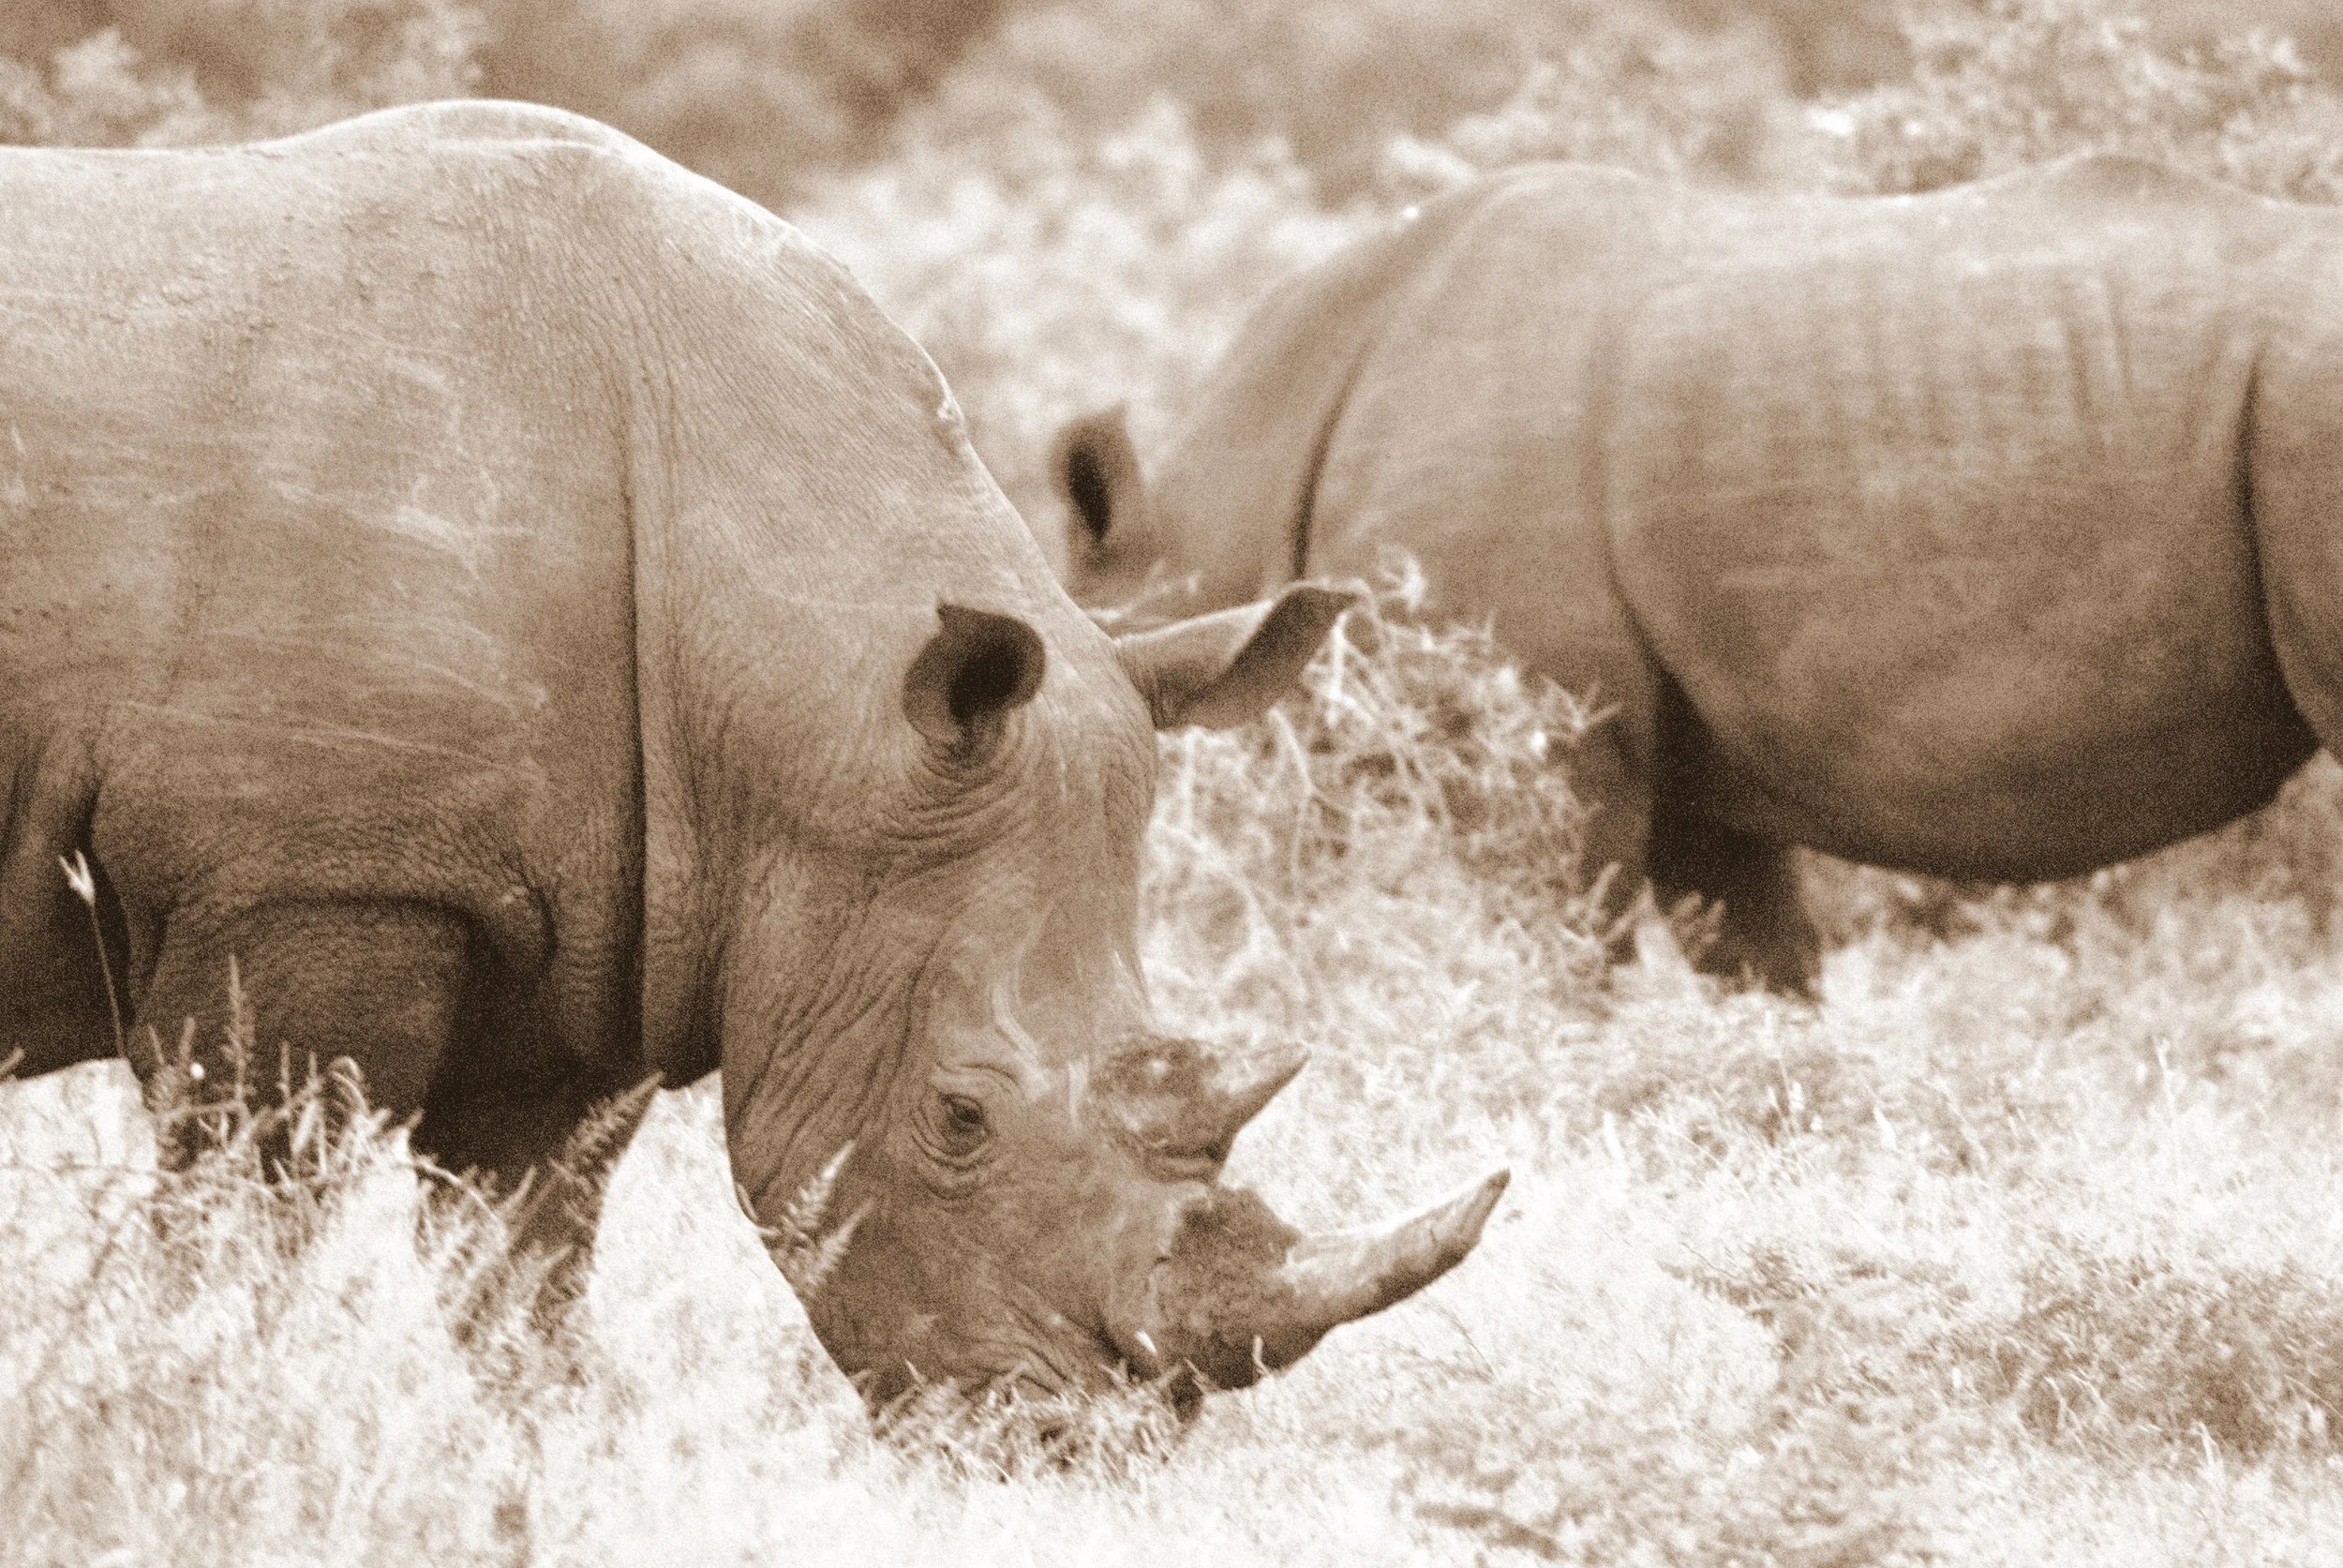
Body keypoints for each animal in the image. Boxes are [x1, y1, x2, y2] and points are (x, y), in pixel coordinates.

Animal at [0, 101, 1507, 1416]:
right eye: (961, 1116)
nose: (1087, 1434)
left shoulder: (598, 921)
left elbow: (522, 1275)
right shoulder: (313, 879)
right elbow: (238, 1229)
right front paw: (185, 1410)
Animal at [1054, 153, 2343, 995]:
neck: (1214, 528)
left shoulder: (1547, 734)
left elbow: (1560, 957)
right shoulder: (1690, 750)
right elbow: (1760, 969)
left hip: (2307, 404)